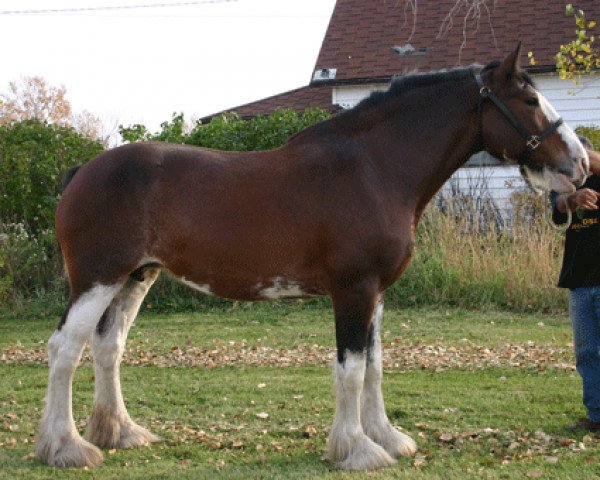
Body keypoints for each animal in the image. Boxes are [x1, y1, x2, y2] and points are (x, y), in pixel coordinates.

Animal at [35, 47, 588, 470]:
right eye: (531, 99)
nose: (581, 164)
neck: (373, 168)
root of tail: (83, 171)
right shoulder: (354, 289)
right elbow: (351, 369)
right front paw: (357, 450)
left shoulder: (376, 293)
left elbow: (375, 367)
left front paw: (387, 438)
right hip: (98, 278)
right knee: (64, 349)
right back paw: (66, 448)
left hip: (135, 277)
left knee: (108, 348)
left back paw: (121, 433)